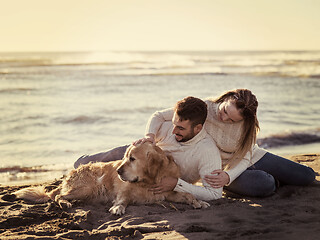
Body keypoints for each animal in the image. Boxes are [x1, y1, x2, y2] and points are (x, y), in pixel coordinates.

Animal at [14, 142, 210, 216]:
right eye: (124, 157)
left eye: (132, 159)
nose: (117, 171)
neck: (149, 181)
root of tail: (72, 172)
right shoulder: (124, 191)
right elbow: (122, 199)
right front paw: (117, 207)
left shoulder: (166, 192)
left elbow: (188, 195)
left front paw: (199, 202)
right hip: (88, 187)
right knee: (57, 196)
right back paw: (65, 203)